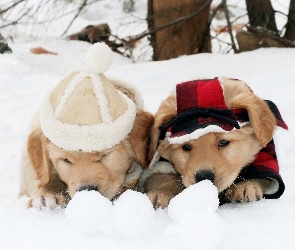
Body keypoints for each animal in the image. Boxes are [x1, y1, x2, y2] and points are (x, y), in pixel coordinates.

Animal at [140, 77, 288, 208]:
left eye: (223, 142)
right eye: (186, 146)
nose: (204, 177)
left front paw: (246, 185)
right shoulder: (160, 164)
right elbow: (162, 178)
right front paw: (161, 193)